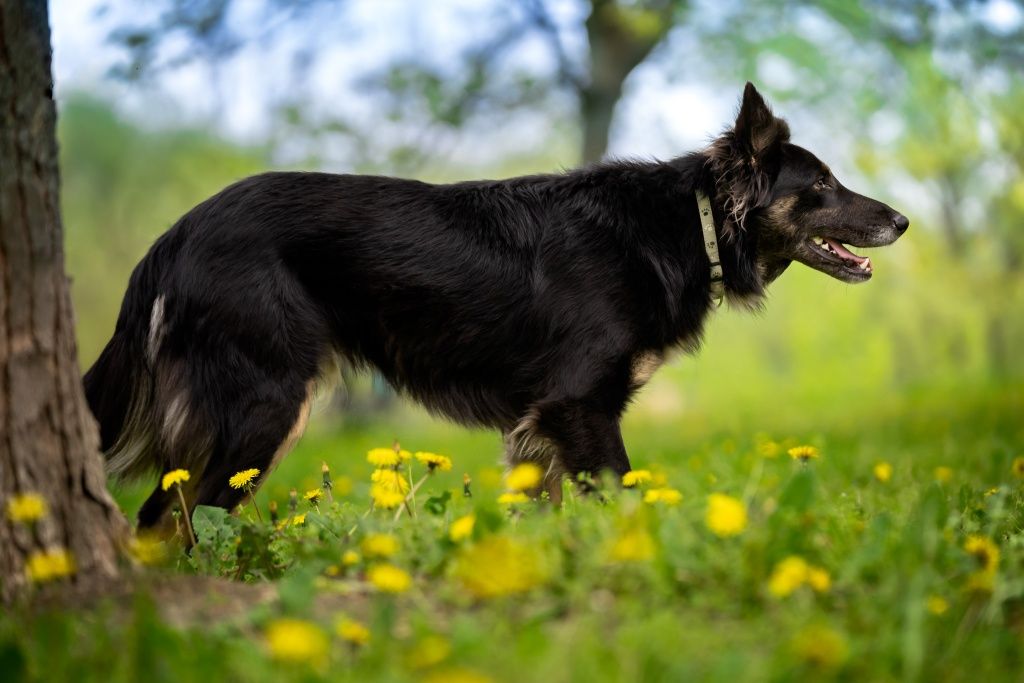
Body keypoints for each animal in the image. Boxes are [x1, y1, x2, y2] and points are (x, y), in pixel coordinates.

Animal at [83, 81, 909, 528]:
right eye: (822, 186)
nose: (903, 221)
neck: (690, 221)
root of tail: (176, 233)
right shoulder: (580, 407)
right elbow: (622, 499)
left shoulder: (540, 427)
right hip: (266, 407)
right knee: (174, 521)